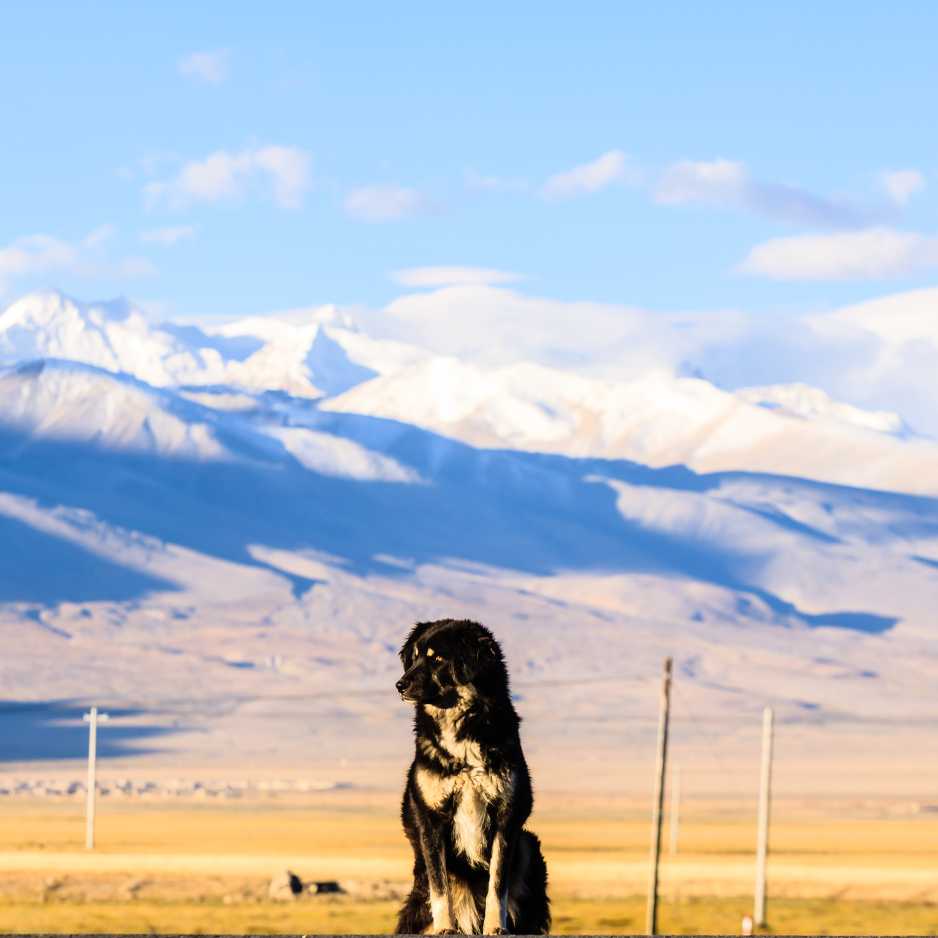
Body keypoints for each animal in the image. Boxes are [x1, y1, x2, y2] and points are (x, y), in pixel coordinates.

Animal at [394, 616, 548, 932]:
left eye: (437, 659)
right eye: (414, 657)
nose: (399, 685)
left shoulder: (506, 814)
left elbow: (497, 884)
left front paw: (495, 927)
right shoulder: (431, 818)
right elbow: (440, 885)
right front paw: (444, 928)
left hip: (528, 845)